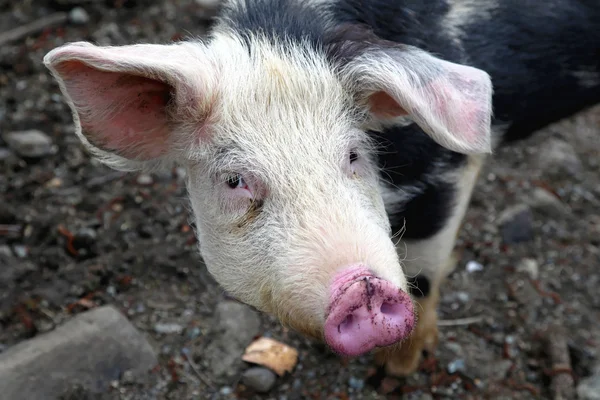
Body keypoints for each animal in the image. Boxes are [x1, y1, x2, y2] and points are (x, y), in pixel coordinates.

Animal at [42, 0, 600, 376]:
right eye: (235, 180)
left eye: (353, 154)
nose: (362, 287)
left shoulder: (445, 169)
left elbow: (424, 269)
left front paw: (397, 372)